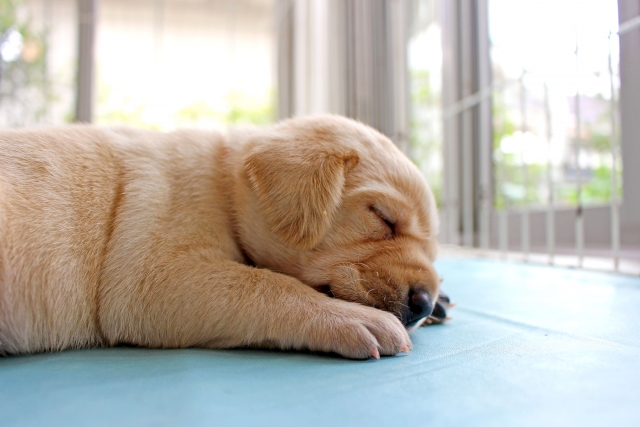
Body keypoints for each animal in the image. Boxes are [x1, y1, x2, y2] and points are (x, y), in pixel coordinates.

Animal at [0, 115, 448, 360]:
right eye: (383, 219)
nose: (424, 304)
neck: (226, 183)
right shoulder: (154, 275)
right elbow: (266, 283)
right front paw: (353, 317)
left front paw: (442, 302)